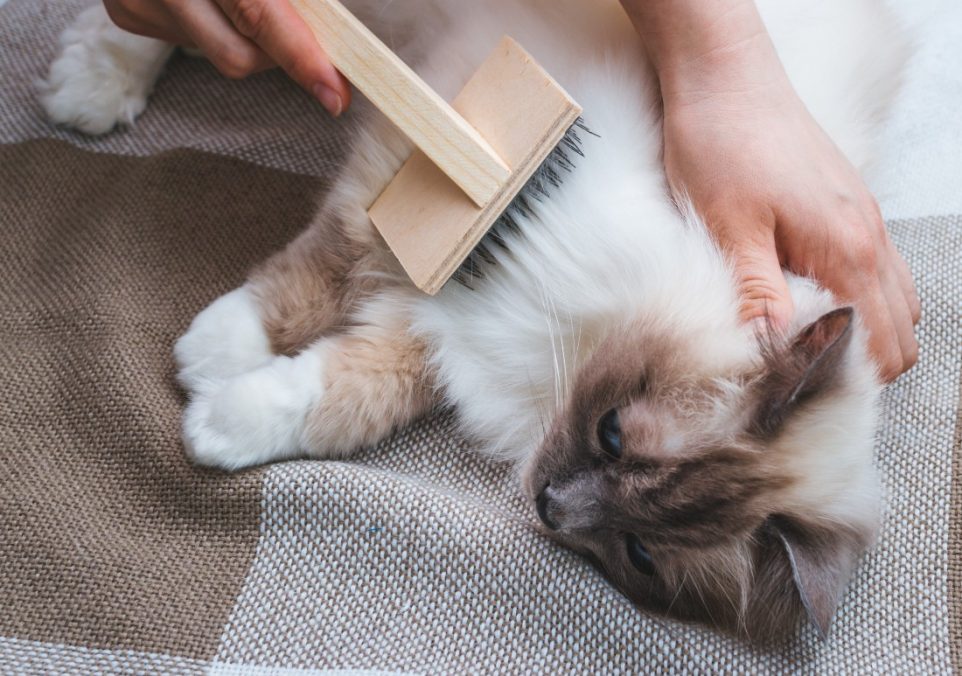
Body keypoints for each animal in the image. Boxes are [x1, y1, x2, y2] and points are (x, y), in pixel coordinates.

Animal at [39, 0, 908, 640]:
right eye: (613, 433)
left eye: (638, 553)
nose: (551, 506)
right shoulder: (408, 180)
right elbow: (307, 279)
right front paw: (211, 352)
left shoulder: (446, 335)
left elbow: (339, 396)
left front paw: (219, 419)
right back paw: (91, 86)